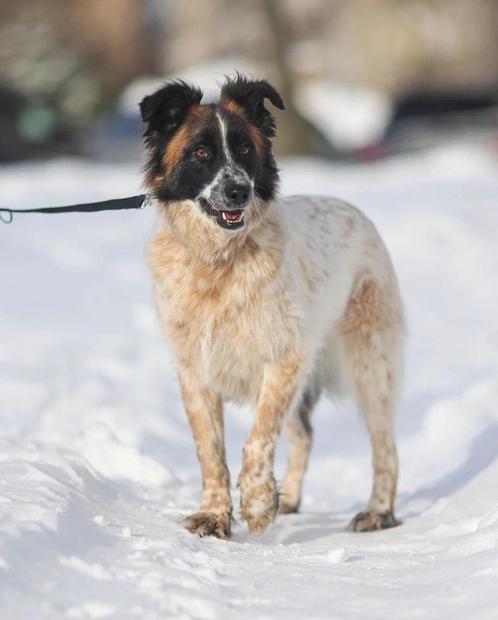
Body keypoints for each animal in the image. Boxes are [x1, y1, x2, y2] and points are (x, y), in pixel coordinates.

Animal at [140, 74, 404, 536]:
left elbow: (259, 437)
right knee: (303, 434)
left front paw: (259, 500)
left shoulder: (283, 358)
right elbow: (210, 451)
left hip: (369, 363)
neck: (218, 263)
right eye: (201, 153)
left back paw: (377, 511)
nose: (238, 190)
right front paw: (214, 514)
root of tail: (358, 214)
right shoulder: (196, 370)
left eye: (246, 148)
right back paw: (292, 500)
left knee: (383, 442)